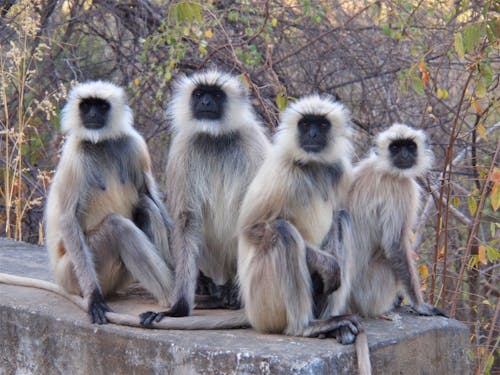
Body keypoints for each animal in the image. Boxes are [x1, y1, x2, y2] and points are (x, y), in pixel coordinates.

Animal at [44, 81, 176, 324]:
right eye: (87, 106)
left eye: (101, 106)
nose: (92, 115)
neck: (101, 143)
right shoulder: (74, 156)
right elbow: (68, 220)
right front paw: (94, 300)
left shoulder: (134, 145)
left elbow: (148, 194)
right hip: (72, 274)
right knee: (118, 226)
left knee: (146, 205)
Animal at [141, 70, 272, 326]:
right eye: (200, 93)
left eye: (216, 95)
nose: (206, 103)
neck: (215, 138)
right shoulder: (182, 148)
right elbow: (187, 220)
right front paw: (178, 308)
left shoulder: (253, 144)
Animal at [330, 124, 448, 320]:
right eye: (395, 147)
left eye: (410, 146)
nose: (405, 155)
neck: (382, 167)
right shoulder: (401, 187)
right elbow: (394, 245)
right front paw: (420, 305)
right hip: (370, 295)